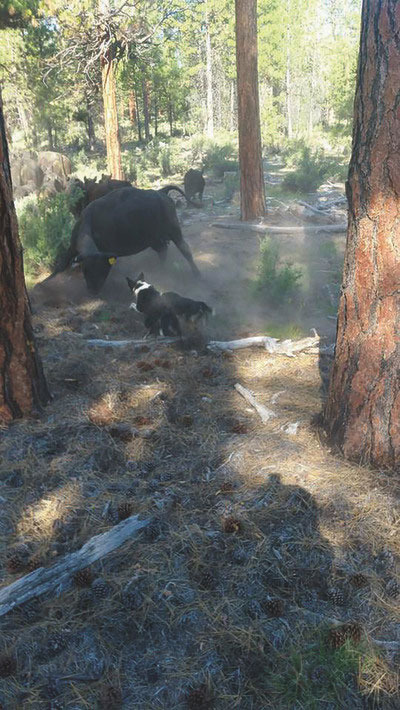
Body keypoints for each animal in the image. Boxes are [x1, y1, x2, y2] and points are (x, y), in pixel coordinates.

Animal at [45, 186, 200, 294]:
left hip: (174, 231)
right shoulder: (72, 248)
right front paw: (45, 282)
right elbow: (61, 265)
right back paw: (161, 270)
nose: (93, 290)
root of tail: (160, 192)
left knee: (185, 250)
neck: (91, 221)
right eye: (85, 268)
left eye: (103, 269)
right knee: (163, 250)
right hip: (153, 240)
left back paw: (197, 275)